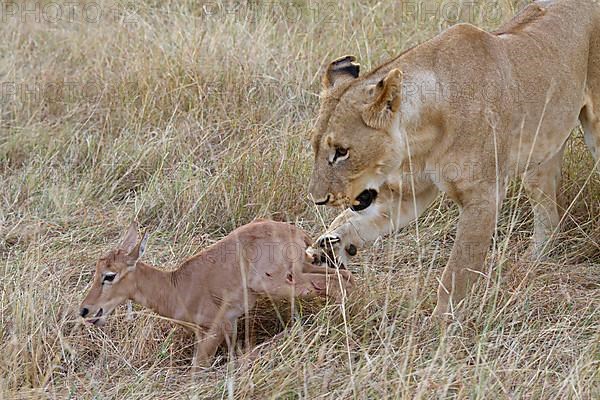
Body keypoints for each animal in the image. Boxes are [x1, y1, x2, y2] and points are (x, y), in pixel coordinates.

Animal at [78, 219, 354, 368]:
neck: (175, 286)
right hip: (304, 268)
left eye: (109, 275)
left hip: (280, 284)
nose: (85, 310)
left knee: (333, 284)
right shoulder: (222, 328)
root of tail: (295, 231)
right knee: (345, 277)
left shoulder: (218, 327)